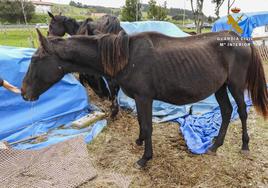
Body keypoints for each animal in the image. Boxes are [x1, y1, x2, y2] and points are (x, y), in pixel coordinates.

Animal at [21, 30, 268, 168]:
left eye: (35, 60)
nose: (24, 93)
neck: (127, 57)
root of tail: (240, 39)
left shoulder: (144, 98)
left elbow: (148, 126)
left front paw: (145, 158)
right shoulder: (139, 99)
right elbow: (141, 122)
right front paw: (139, 142)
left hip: (235, 85)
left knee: (242, 113)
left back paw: (245, 145)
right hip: (219, 87)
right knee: (226, 112)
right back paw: (215, 145)